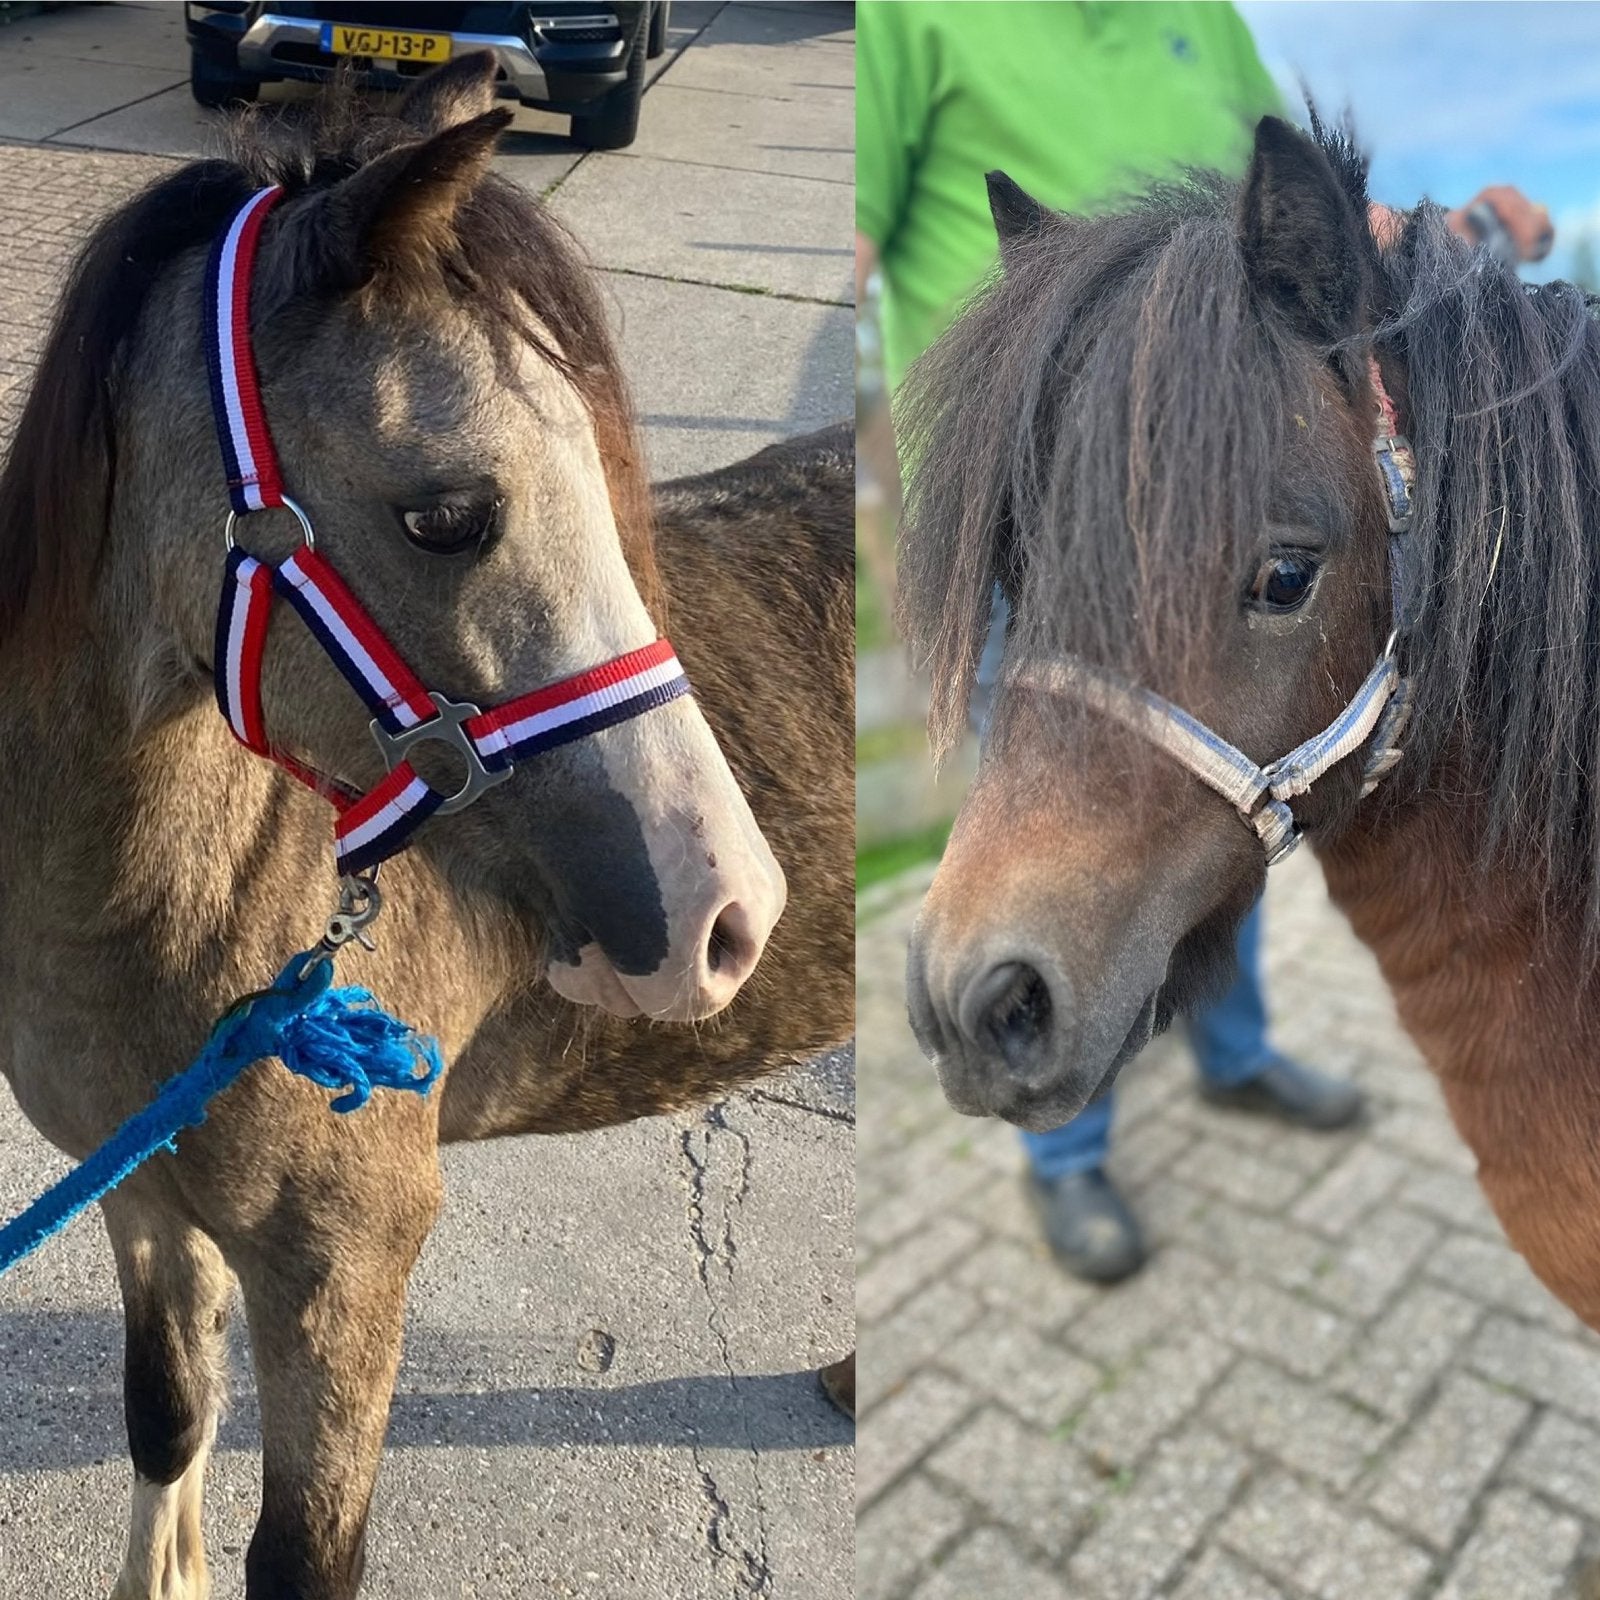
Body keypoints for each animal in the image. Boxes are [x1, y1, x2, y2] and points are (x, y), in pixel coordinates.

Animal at [0, 54, 852, 1600]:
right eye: (449, 512)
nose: (727, 911)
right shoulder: (141, 1194)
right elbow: (167, 1414)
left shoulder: (345, 1269)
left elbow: (305, 1555)